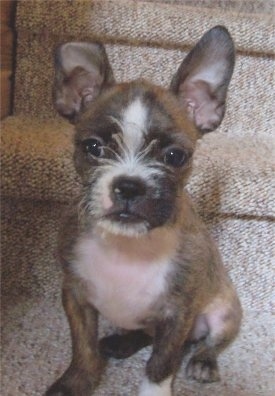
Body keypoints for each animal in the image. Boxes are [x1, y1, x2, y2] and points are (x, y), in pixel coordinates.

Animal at [47, 26, 244, 394]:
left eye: (175, 156)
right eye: (93, 147)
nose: (129, 185)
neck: (129, 244)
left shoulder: (178, 312)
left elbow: (161, 362)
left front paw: (153, 389)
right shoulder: (76, 295)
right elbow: (82, 347)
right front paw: (76, 382)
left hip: (224, 309)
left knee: (209, 341)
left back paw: (202, 361)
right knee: (147, 333)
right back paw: (122, 342)